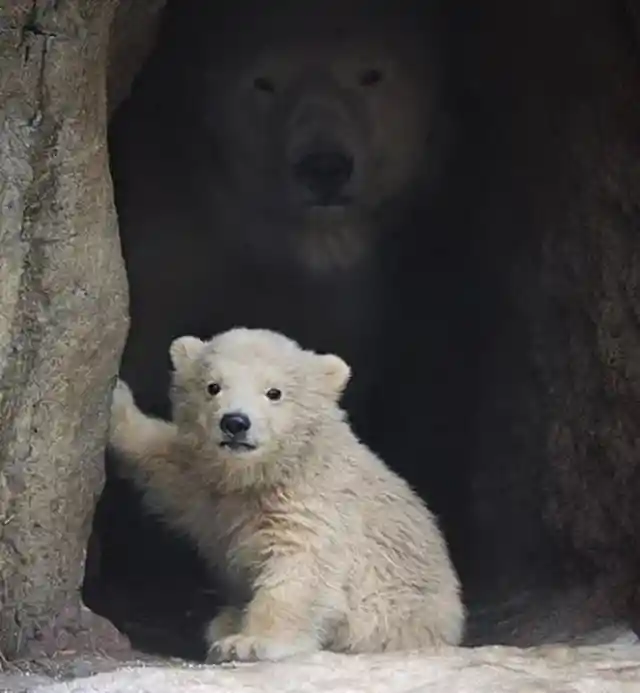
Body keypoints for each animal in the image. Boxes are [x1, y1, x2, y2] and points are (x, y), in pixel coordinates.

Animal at [107, 326, 465, 662]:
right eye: (213, 386)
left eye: (274, 392)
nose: (235, 422)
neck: (264, 475)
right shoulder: (208, 484)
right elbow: (166, 465)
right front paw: (117, 402)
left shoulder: (314, 506)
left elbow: (300, 570)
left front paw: (249, 643)